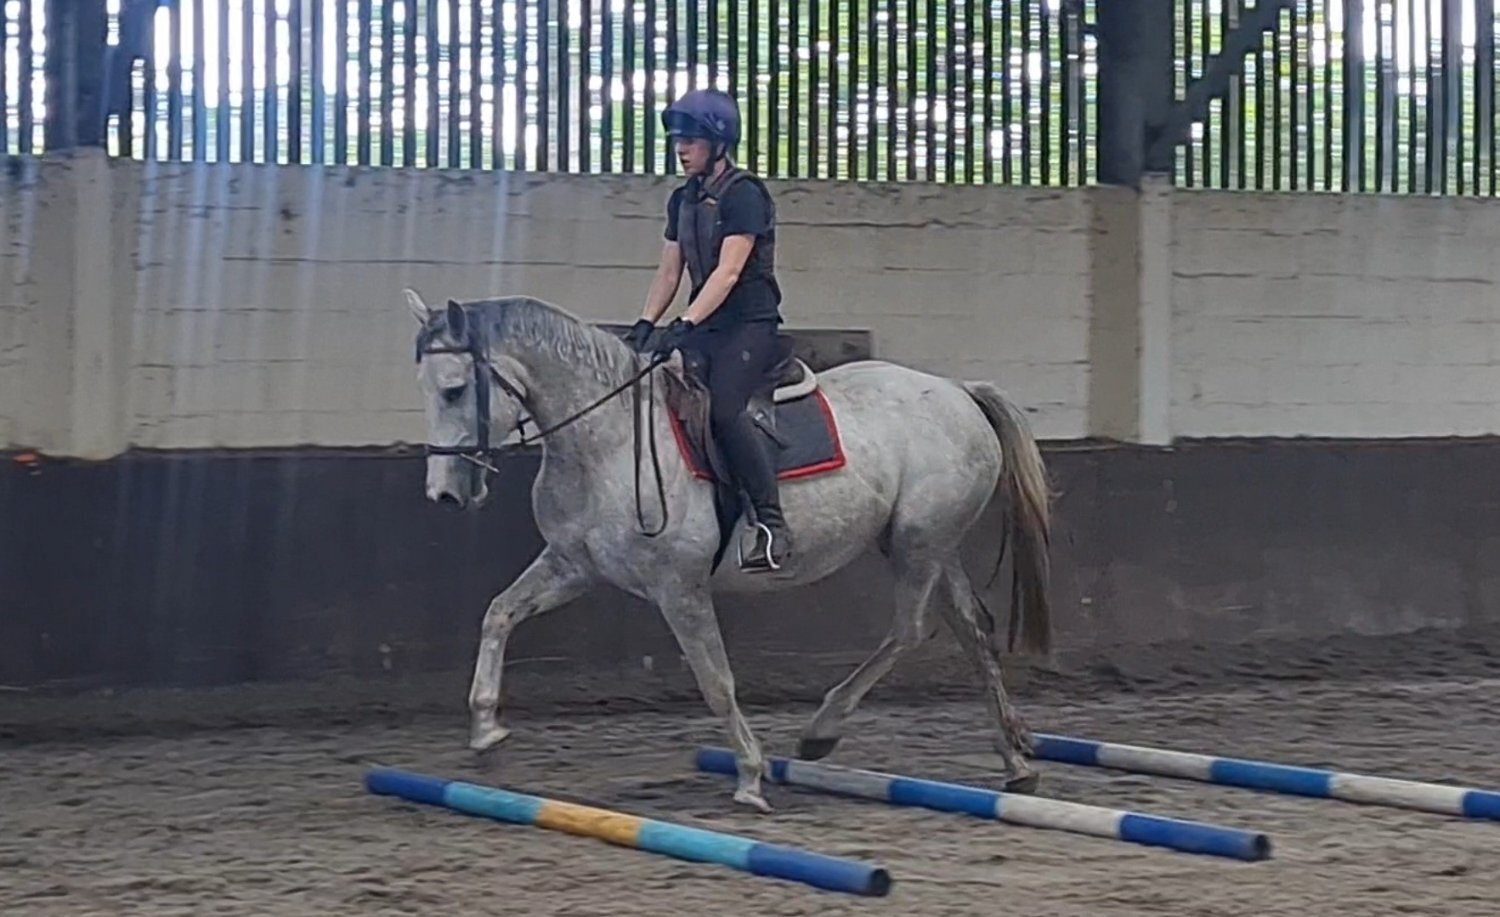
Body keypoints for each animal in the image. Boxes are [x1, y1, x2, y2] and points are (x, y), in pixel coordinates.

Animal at [404, 288, 1055, 813]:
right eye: (427, 391)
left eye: (455, 390)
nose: (443, 494)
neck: (607, 440)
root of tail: (959, 392)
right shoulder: (573, 567)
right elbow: (499, 613)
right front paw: (486, 731)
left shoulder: (679, 587)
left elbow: (716, 680)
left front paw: (749, 775)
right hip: (933, 545)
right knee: (971, 627)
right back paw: (1015, 759)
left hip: (917, 542)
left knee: (910, 629)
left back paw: (823, 730)